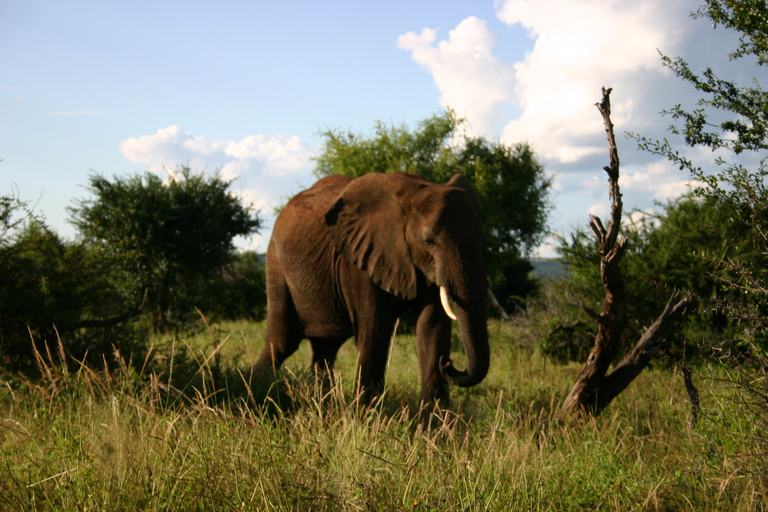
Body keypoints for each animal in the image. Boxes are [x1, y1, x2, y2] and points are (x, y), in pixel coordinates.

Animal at [255, 174, 488, 406]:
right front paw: (365, 412)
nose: (448, 363)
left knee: (325, 348)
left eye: (481, 238)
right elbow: (376, 329)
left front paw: (435, 418)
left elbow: (432, 326)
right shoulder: (359, 262)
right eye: (428, 242)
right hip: (276, 267)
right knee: (281, 343)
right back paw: (259, 387)